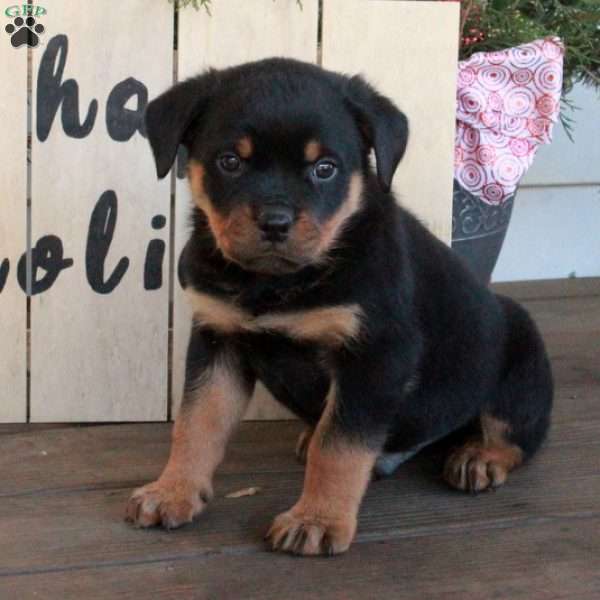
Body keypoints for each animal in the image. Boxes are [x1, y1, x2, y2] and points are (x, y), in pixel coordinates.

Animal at [125, 58, 552, 556]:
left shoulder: (374, 355)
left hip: (522, 354)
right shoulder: (218, 339)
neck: (275, 283)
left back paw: (479, 456)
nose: (275, 222)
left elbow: (339, 448)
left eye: (325, 168)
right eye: (229, 161)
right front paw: (172, 490)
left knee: (516, 431)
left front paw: (316, 519)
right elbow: (197, 422)